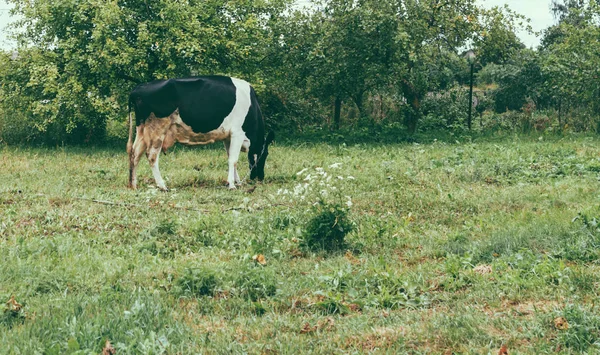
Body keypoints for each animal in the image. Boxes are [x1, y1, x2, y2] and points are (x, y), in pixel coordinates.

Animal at [129, 76, 276, 191]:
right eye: (266, 154)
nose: (260, 177)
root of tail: (138, 88)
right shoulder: (237, 133)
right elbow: (233, 160)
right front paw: (232, 185)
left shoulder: (228, 137)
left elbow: (230, 157)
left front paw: (236, 182)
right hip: (157, 129)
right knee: (151, 156)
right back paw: (162, 186)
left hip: (142, 129)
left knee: (135, 153)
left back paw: (133, 184)